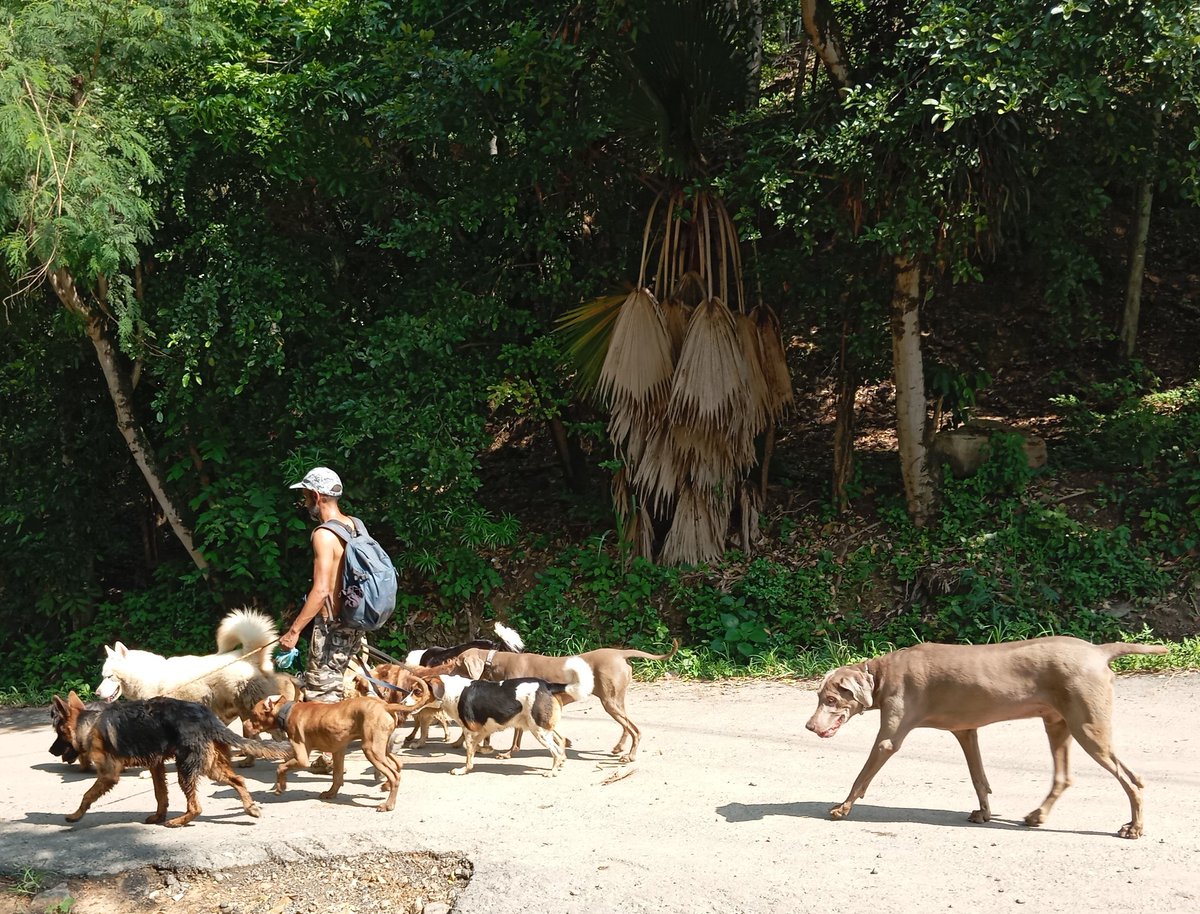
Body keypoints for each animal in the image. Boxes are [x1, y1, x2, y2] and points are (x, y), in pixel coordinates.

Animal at [51, 681, 295, 825]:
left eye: (58, 733)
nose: (51, 750)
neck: (89, 723)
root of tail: (208, 717)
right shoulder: (156, 766)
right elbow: (161, 795)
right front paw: (159, 815)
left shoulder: (109, 774)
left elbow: (87, 795)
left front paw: (76, 815)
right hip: (210, 766)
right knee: (238, 780)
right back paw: (250, 807)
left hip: (186, 768)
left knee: (197, 807)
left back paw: (180, 821)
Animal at [242, 681, 427, 810]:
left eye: (253, 714)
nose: (244, 725)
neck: (286, 711)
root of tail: (386, 705)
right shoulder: (338, 750)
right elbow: (337, 777)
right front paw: (331, 793)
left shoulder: (302, 758)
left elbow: (280, 767)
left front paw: (280, 786)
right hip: (380, 747)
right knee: (397, 765)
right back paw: (386, 786)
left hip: (371, 749)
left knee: (395, 775)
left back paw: (388, 805)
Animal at [434, 657, 592, 777]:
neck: (453, 690)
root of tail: (547, 685)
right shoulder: (482, 731)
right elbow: (475, 748)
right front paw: (486, 750)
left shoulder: (469, 731)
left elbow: (469, 754)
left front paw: (463, 770)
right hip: (547, 726)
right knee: (561, 740)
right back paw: (559, 764)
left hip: (539, 731)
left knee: (556, 751)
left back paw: (552, 772)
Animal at [448, 638, 676, 758]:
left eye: (457, 662)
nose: (446, 673)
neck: (497, 662)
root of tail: (620, 654)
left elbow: (516, 735)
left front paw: (508, 753)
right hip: (616, 699)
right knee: (627, 725)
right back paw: (619, 748)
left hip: (609, 702)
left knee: (635, 729)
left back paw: (630, 756)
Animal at [801, 638, 1166, 834]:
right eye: (818, 697)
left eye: (831, 700)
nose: (809, 727)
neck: (880, 674)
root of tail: (1099, 650)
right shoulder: (966, 732)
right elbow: (979, 778)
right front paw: (984, 813)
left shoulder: (889, 738)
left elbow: (862, 776)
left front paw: (842, 808)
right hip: (1059, 724)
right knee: (1069, 777)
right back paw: (1038, 815)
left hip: (1087, 727)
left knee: (1132, 780)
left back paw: (1134, 828)